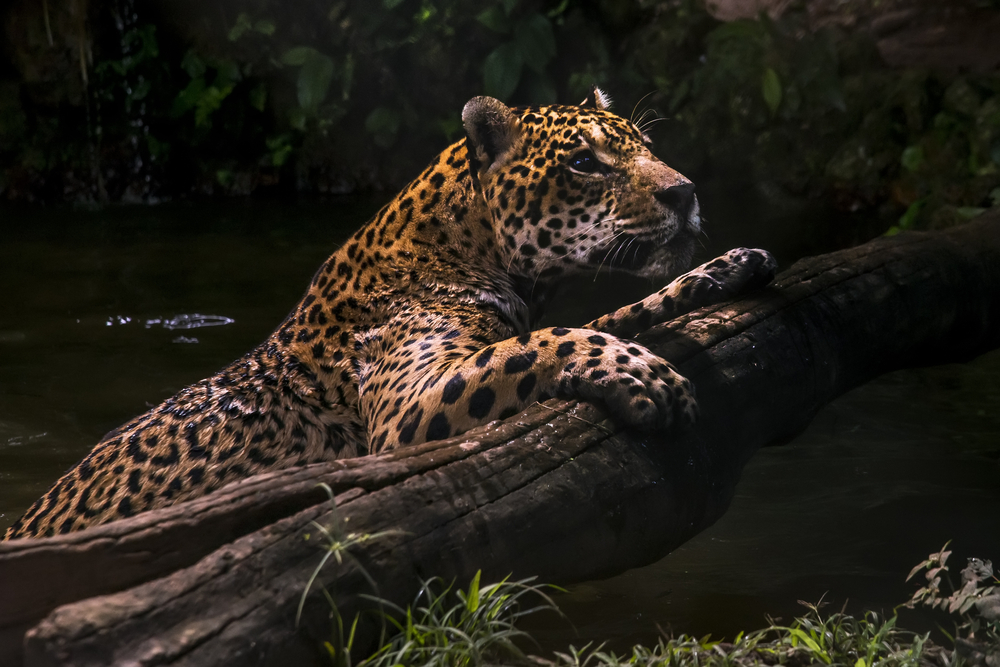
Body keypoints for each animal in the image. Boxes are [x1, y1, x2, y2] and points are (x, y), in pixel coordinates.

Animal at [3, 88, 775, 540]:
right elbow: (545, 343)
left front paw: (731, 266)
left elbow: (608, 312)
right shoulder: (410, 408)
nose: (684, 192)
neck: (474, 249)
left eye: (645, 147)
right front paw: (643, 374)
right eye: (585, 163)